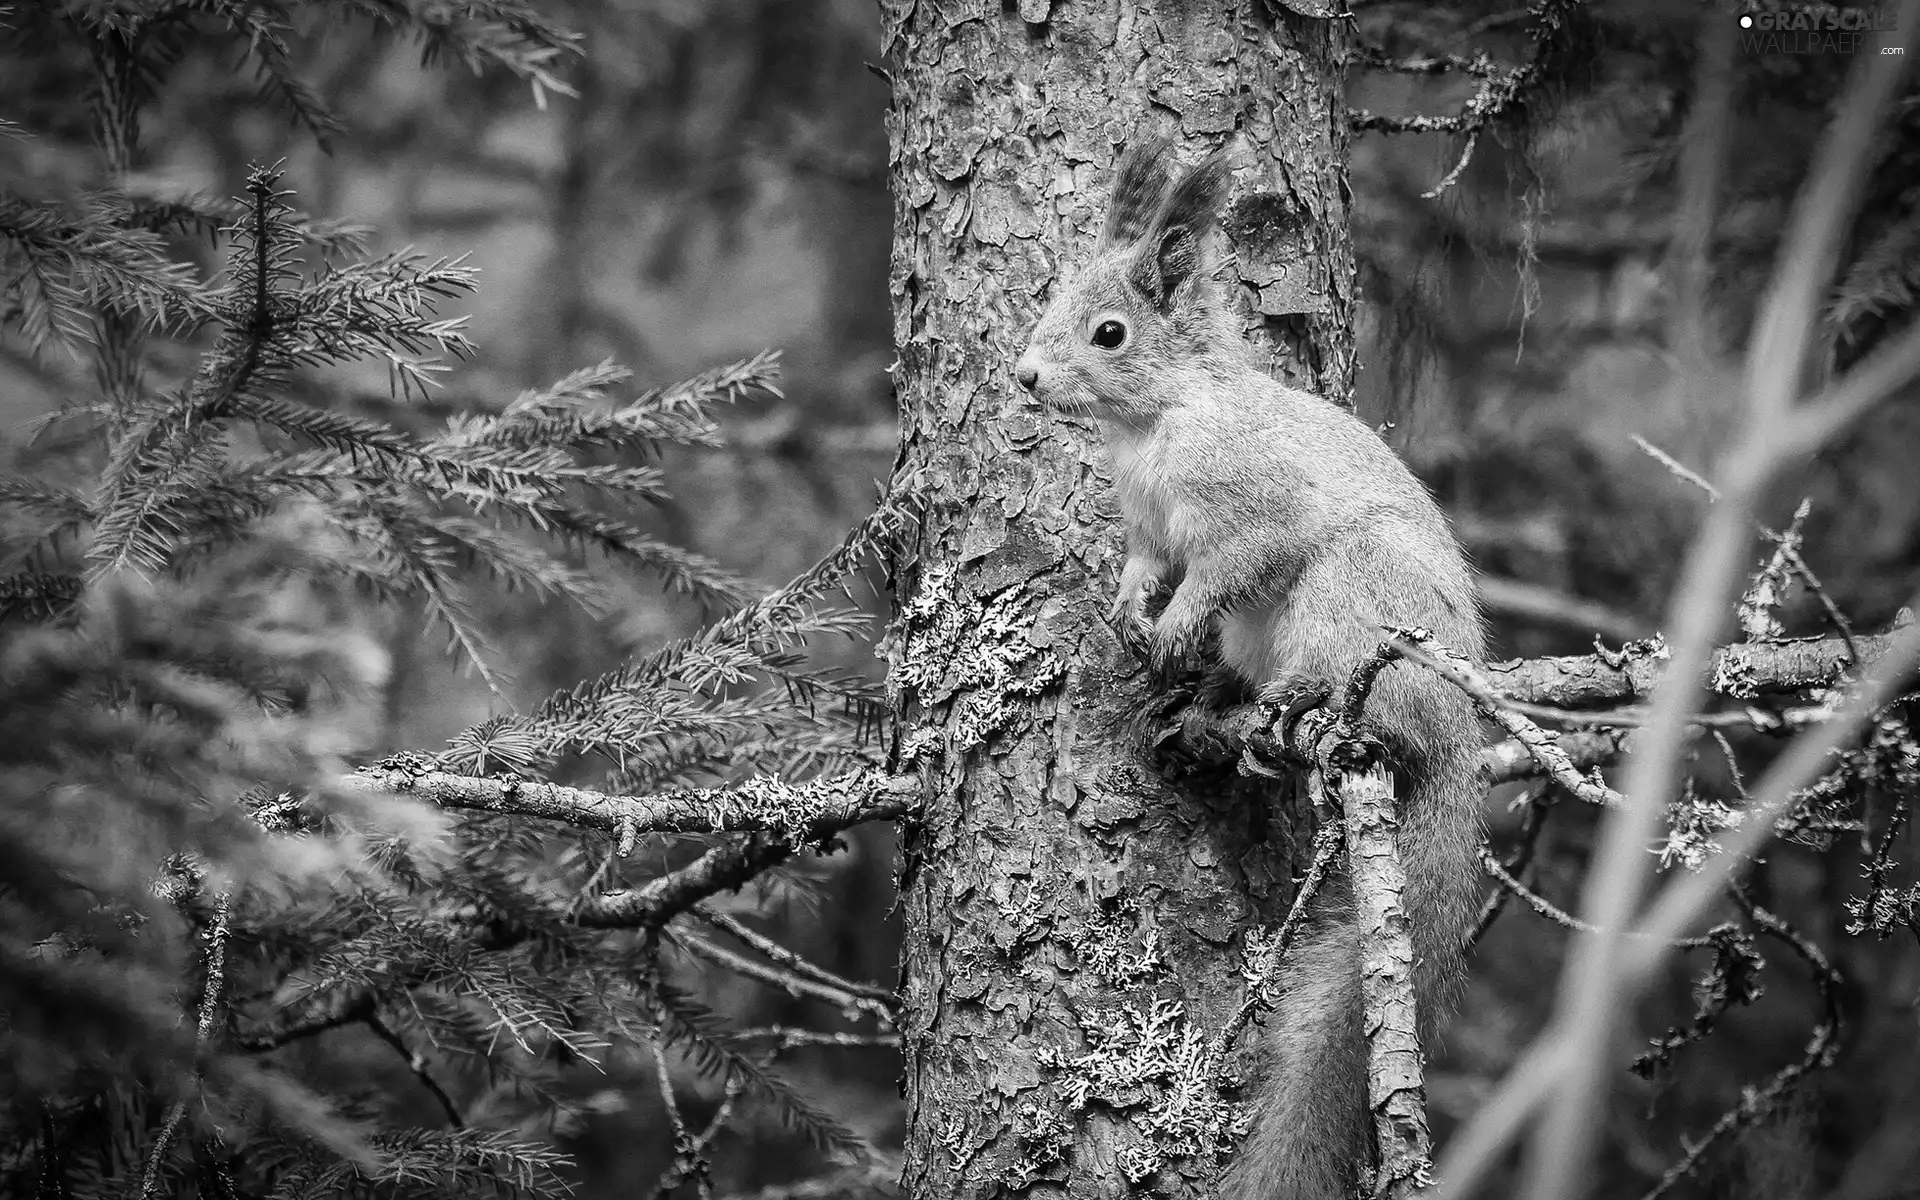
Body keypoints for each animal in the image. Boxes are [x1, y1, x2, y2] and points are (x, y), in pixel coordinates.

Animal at [1013, 140, 1489, 1198]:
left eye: (1109, 333)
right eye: (1052, 297)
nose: (1024, 376)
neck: (1155, 424)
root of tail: (1461, 743)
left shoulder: (1252, 513)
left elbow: (1226, 570)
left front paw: (1174, 624)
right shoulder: (1150, 529)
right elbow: (1146, 567)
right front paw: (1129, 613)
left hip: (1350, 601)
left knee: (1364, 702)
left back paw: (1296, 704)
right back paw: (1208, 701)